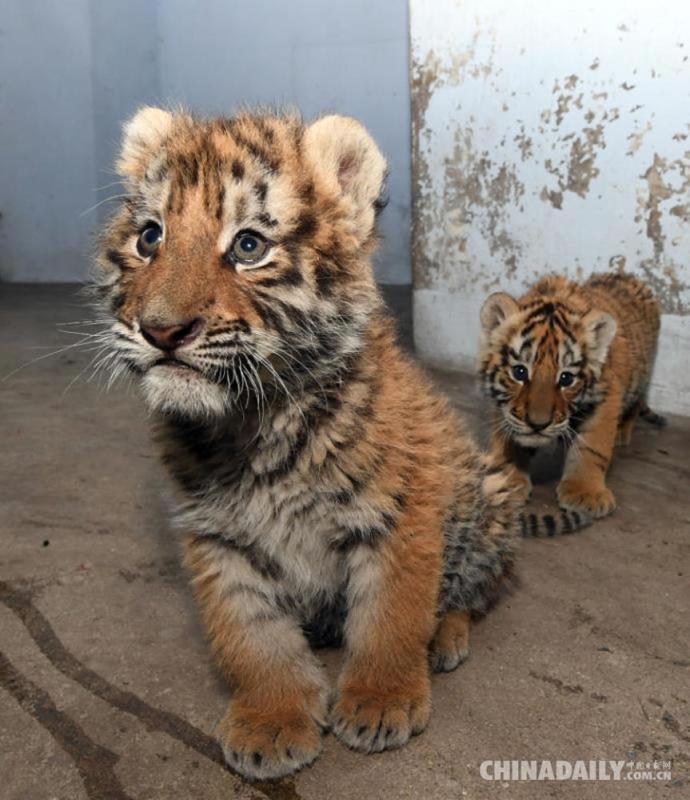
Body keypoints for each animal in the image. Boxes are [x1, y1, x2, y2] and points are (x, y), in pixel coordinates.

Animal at [93, 107, 524, 781]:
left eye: (249, 246)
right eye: (149, 238)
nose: (161, 330)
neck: (254, 427)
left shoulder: (401, 516)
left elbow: (392, 616)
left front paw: (380, 701)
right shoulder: (216, 538)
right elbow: (251, 636)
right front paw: (271, 721)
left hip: (493, 503)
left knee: (474, 593)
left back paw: (444, 640)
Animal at [479, 272, 665, 530]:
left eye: (566, 378)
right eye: (519, 372)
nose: (538, 424)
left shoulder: (606, 399)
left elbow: (592, 448)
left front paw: (586, 494)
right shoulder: (504, 408)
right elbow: (508, 443)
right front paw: (507, 477)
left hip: (642, 378)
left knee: (635, 405)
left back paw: (621, 433)